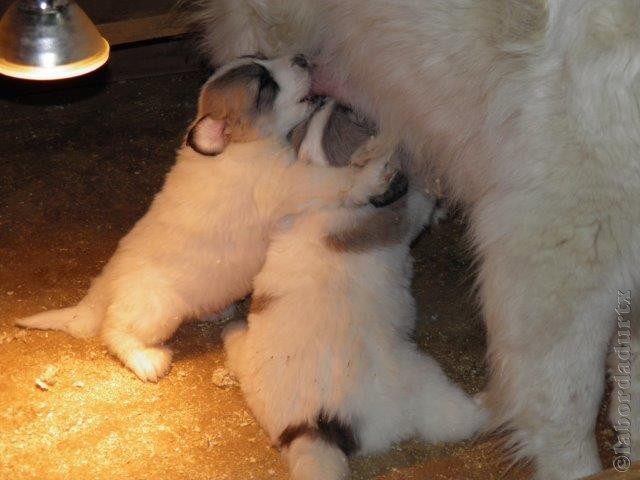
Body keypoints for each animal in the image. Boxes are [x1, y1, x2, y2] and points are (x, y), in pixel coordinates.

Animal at [15, 54, 396, 382]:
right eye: (265, 85)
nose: (303, 57)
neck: (242, 147)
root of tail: (98, 292)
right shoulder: (290, 183)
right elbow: (336, 181)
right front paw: (375, 169)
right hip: (157, 311)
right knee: (115, 334)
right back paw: (147, 360)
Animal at [222, 99, 488, 478]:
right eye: (352, 113)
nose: (328, 98)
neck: (325, 196)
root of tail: (311, 426)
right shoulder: (406, 211)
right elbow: (420, 201)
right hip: (425, 381)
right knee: (457, 421)